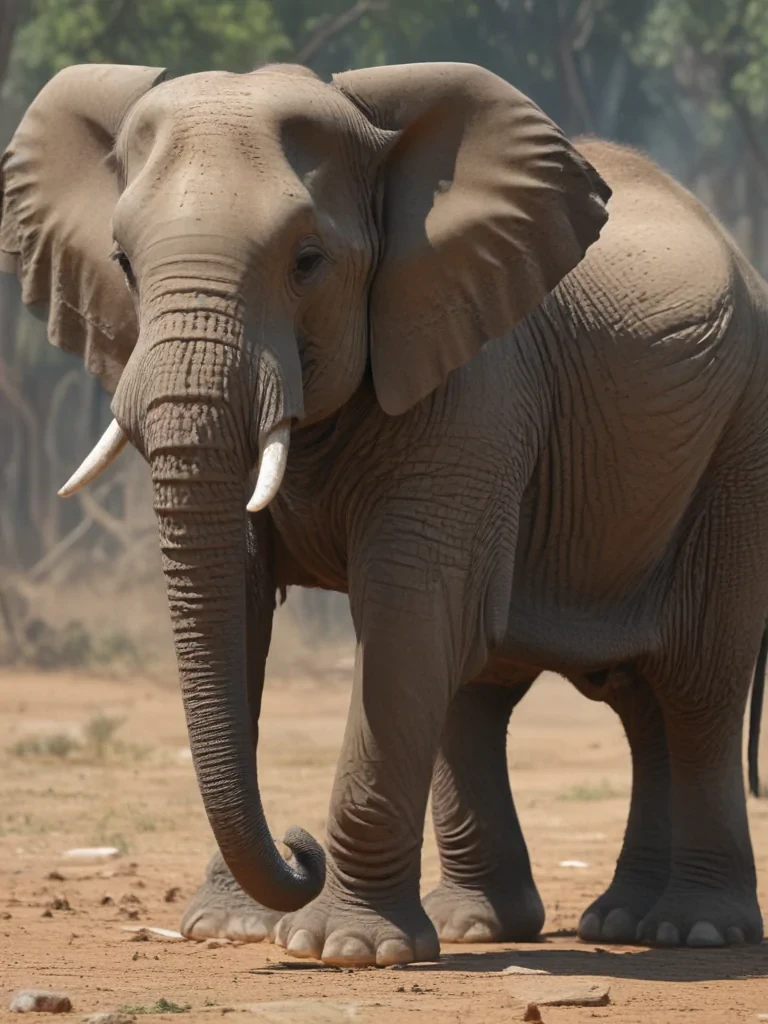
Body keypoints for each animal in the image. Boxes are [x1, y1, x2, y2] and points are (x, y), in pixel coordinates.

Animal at [2, 59, 767, 968]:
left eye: (307, 261)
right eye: (122, 260)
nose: (298, 848)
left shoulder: (473, 381)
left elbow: (407, 611)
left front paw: (343, 948)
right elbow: (246, 611)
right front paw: (228, 930)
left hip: (740, 439)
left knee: (694, 686)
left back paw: (693, 930)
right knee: (537, 693)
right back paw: (531, 926)